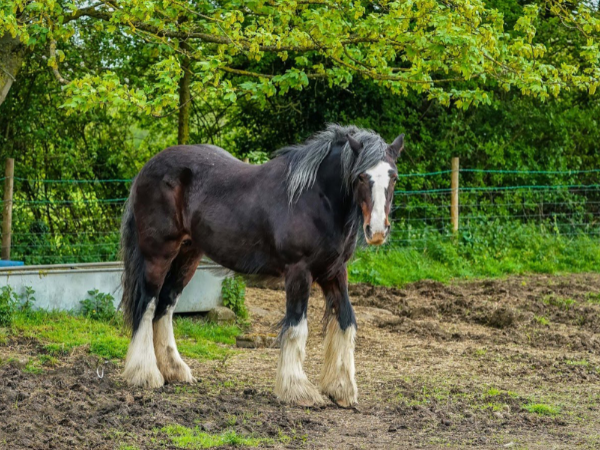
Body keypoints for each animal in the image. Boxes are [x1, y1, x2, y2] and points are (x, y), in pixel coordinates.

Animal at [120, 124, 406, 408]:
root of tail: (148, 167)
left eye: (393, 177)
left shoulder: (334, 271)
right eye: (361, 177)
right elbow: (296, 327)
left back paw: (174, 370)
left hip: (187, 256)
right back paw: (145, 374)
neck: (315, 197)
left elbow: (346, 321)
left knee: (165, 306)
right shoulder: (299, 271)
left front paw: (342, 389)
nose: (377, 230)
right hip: (158, 254)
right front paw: (298, 390)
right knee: (147, 304)